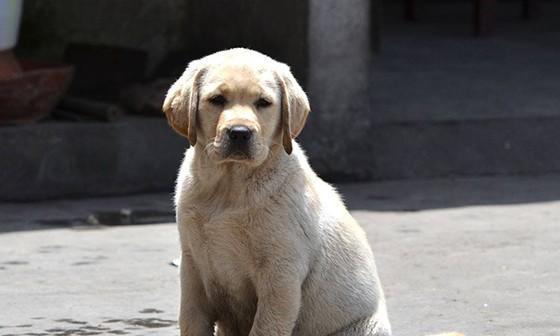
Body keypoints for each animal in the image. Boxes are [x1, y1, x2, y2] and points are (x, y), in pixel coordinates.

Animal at [163, 48, 460, 336]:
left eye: (263, 103)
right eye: (217, 99)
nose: (239, 133)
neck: (229, 187)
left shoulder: (281, 274)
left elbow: (266, 327)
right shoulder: (193, 266)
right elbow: (190, 321)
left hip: (362, 328)